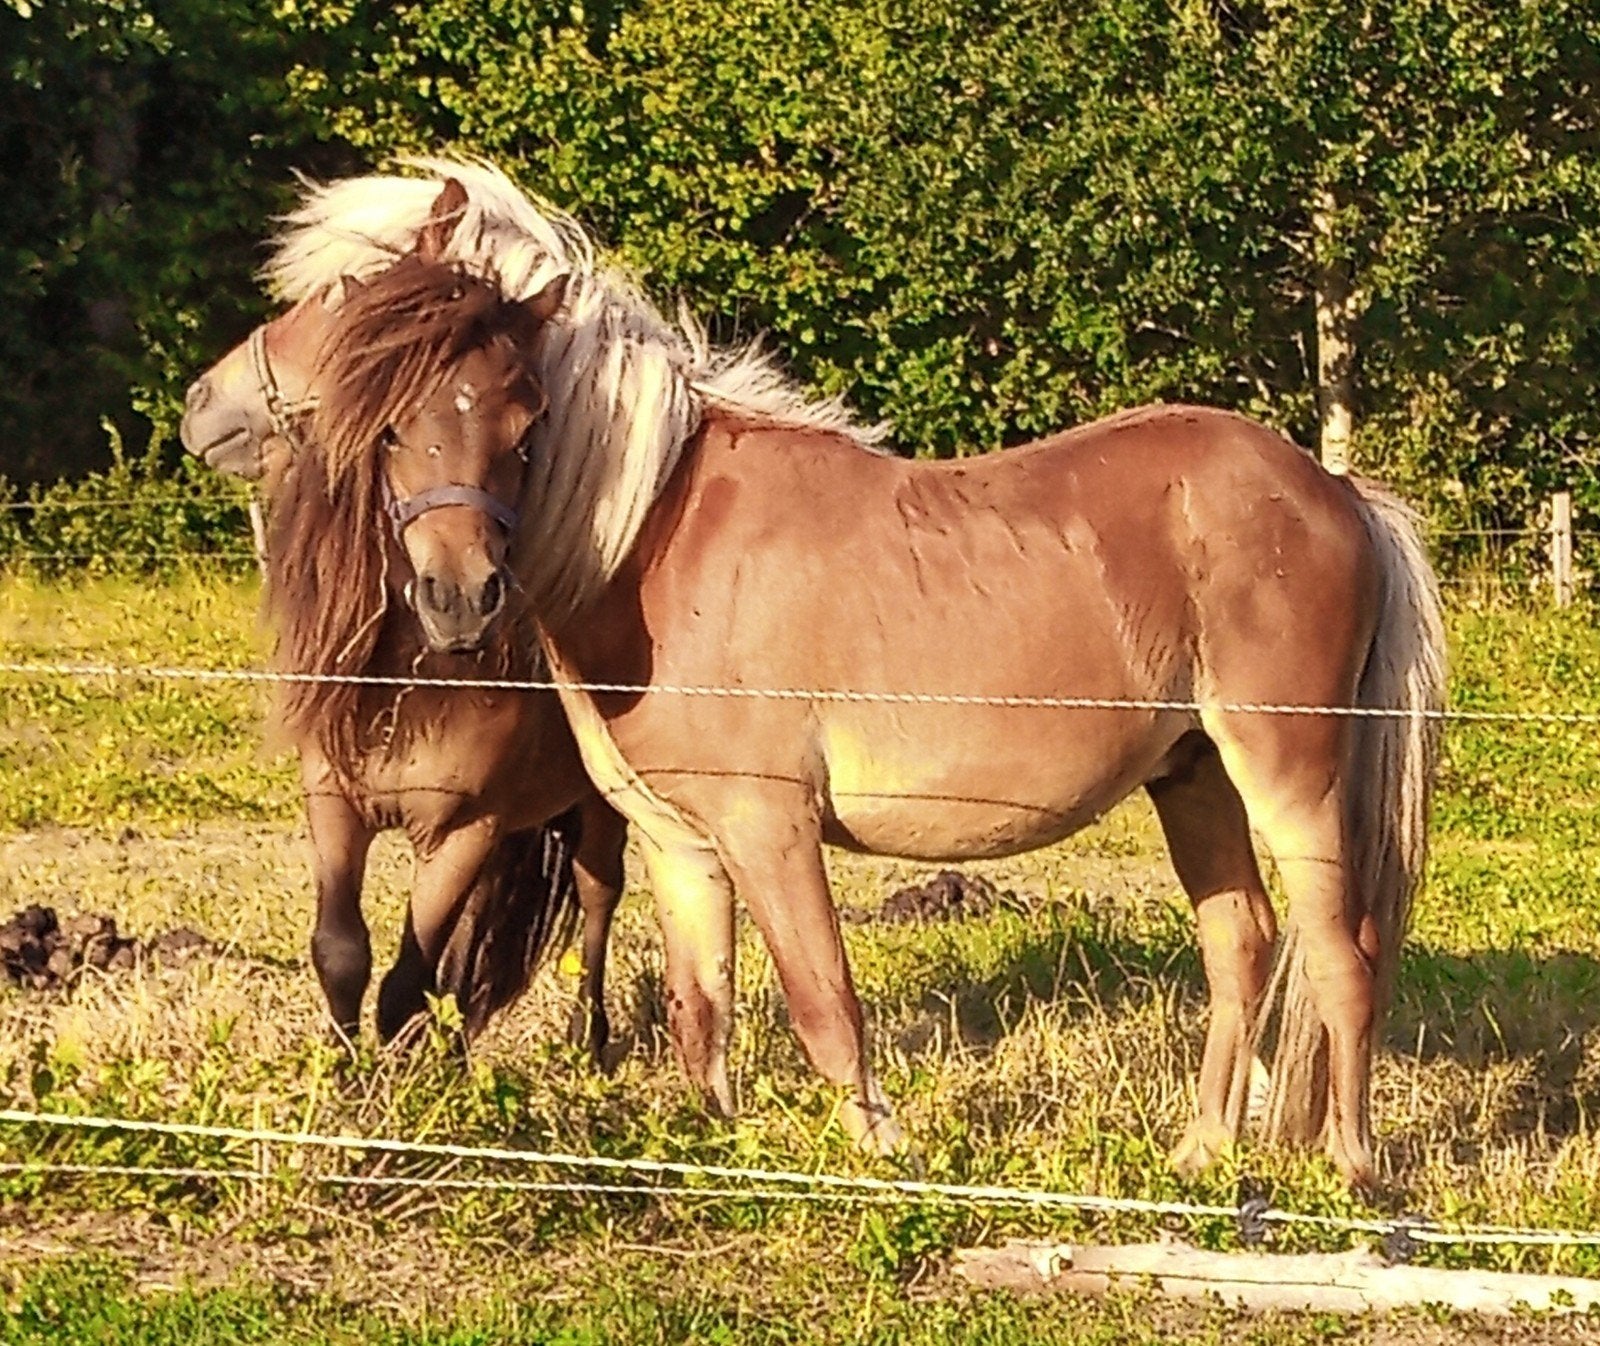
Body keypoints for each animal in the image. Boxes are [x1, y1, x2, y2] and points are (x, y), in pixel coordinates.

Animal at [178, 241, 628, 1056]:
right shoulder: (333, 803)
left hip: (599, 807)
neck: (409, 682)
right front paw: (342, 1072)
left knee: (598, 891)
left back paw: (587, 1038)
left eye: (528, 435)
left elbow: (405, 982)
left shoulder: (461, 832)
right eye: (390, 430)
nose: (460, 599)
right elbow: (343, 951)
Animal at [265, 161, 1446, 1186]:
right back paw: (1200, 1153)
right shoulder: (679, 842)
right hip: (1191, 773)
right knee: (1240, 943)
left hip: (1288, 770)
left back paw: (1352, 1168)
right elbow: (702, 1014)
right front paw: (718, 1153)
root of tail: (1336, 491)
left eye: (524, 419)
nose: (458, 598)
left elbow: (823, 998)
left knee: (1340, 954)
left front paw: (880, 1155)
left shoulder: (772, 825)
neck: (654, 540)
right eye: (392, 419)